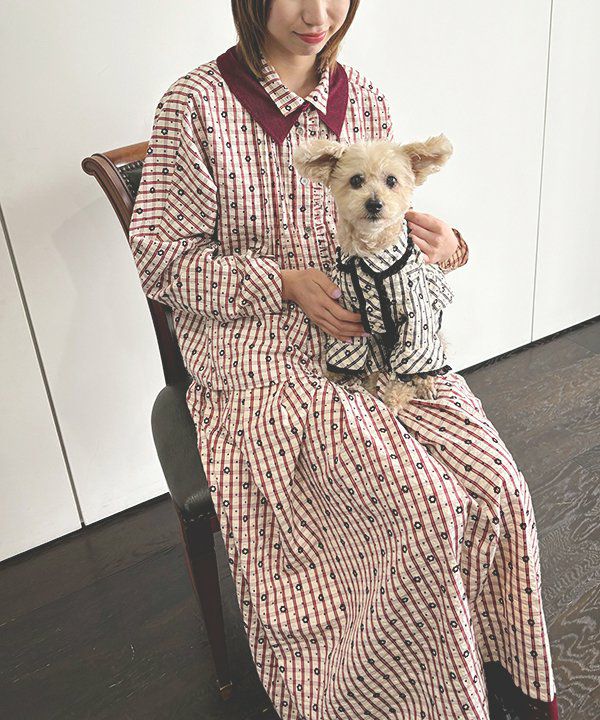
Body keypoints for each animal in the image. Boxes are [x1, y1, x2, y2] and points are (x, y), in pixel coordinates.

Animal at [292, 134, 456, 413]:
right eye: (356, 180)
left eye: (391, 180)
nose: (374, 203)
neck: (371, 255)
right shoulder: (351, 315)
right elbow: (350, 351)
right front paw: (336, 372)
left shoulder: (416, 317)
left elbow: (410, 361)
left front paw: (396, 397)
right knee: (376, 367)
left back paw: (423, 385)